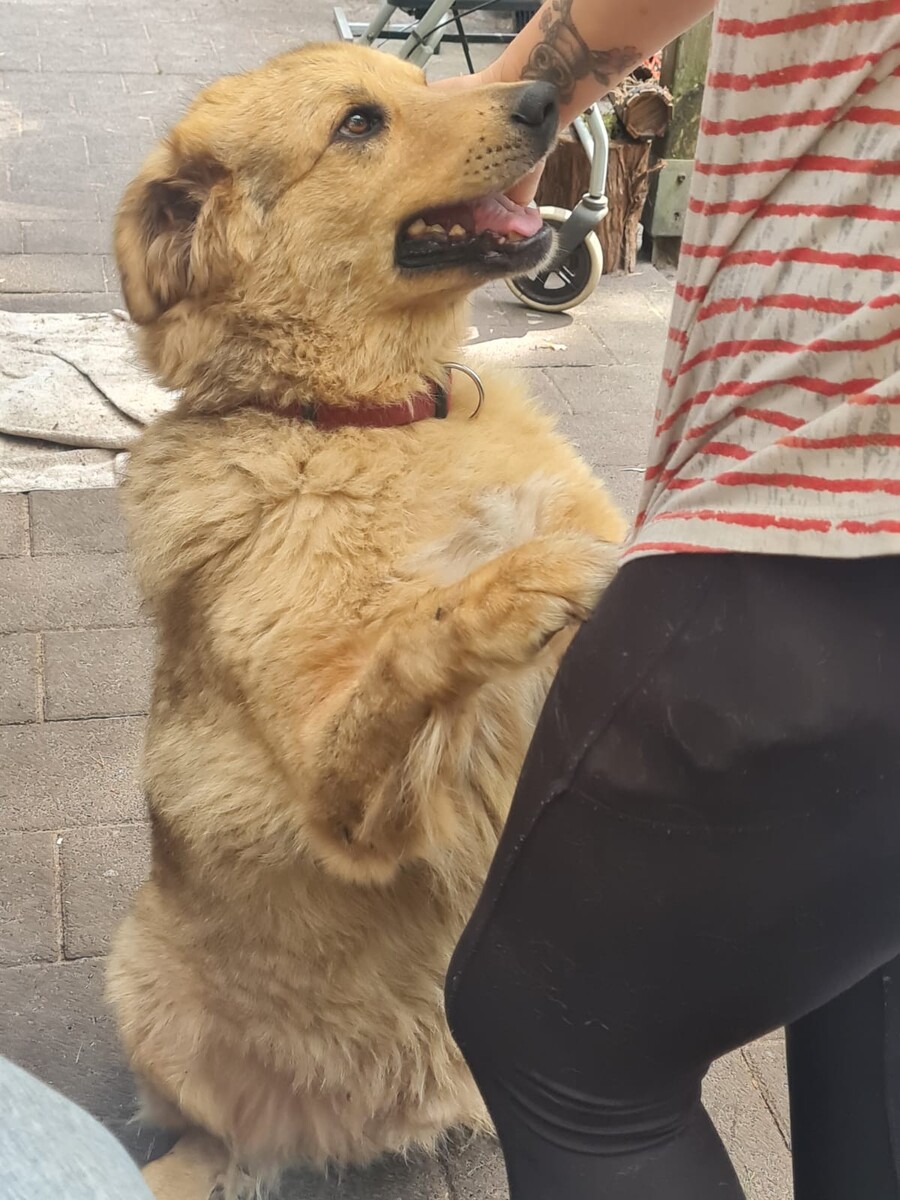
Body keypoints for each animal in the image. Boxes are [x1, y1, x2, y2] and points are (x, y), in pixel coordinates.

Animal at [107, 40, 626, 1199]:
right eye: (356, 124)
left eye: (420, 83)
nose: (543, 98)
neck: (367, 420)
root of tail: (330, 1135)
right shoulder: (346, 804)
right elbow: (416, 638)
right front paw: (525, 579)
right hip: (138, 975)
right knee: (213, 1136)